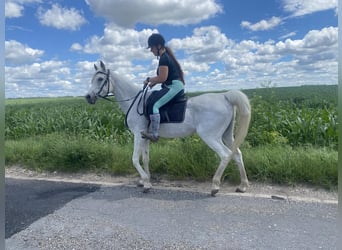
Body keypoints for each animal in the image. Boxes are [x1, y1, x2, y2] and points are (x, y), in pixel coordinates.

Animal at [85, 60, 251, 195]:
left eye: (100, 79)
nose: (88, 97)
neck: (135, 101)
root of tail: (224, 96)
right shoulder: (145, 136)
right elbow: (145, 158)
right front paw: (145, 180)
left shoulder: (138, 135)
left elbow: (134, 159)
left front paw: (146, 183)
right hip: (226, 135)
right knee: (237, 154)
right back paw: (242, 186)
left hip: (210, 136)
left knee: (225, 155)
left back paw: (215, 186)